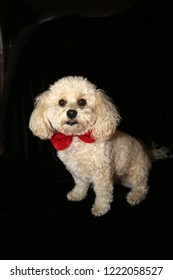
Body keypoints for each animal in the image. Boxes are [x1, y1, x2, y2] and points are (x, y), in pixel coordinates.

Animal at [29, 75, 170, 217]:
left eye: (82, 102)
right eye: (61, 102)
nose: (71, 113)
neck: (77, 139)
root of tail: (149, 155)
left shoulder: (102, 175)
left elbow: (103, 193)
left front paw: (100, 207)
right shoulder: (76, 171)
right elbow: (80, 184)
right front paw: (77, 194)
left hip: (135, 175)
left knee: (143, 187)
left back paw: (135, 196)